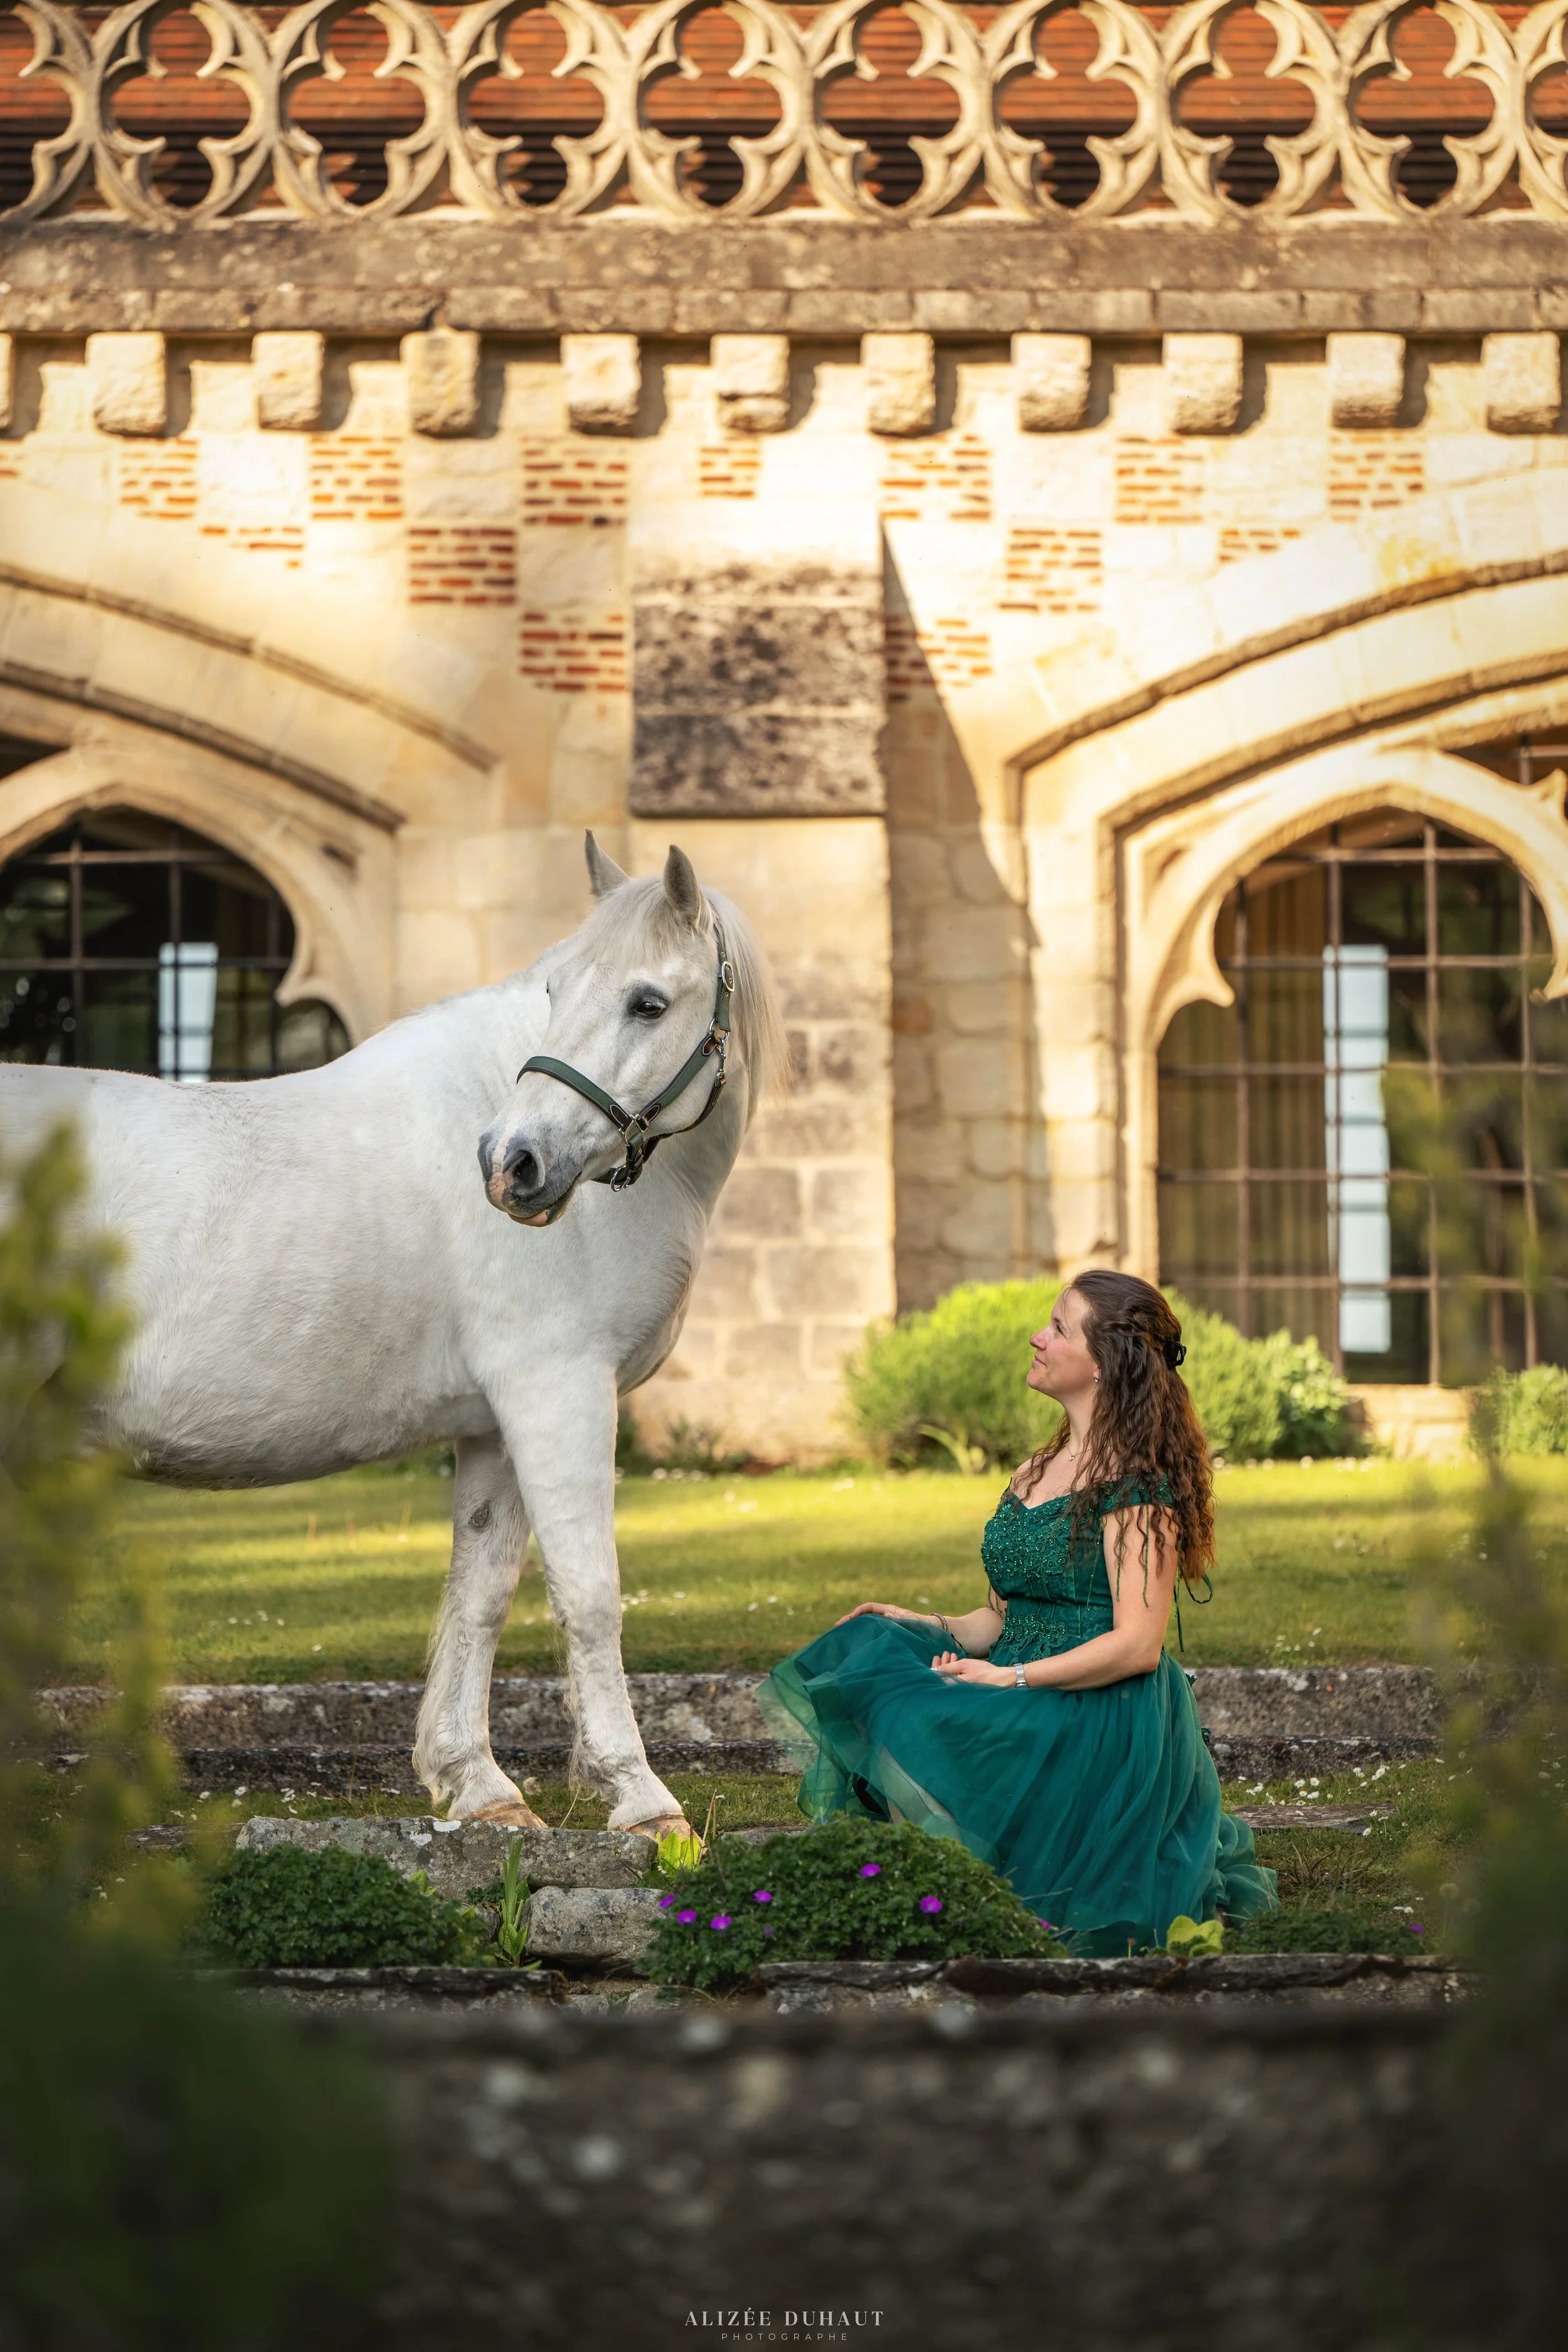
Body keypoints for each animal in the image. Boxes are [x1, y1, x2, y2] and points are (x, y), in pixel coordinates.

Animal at [0, 834, 788, 1838]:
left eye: (647, 1001)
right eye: (556, 988)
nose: (512, 1164)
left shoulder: (498, 1423)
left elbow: (481, 1594)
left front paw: (480, 1786)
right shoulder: (560, 1392)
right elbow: (589, 1594)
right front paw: (643, 1801)